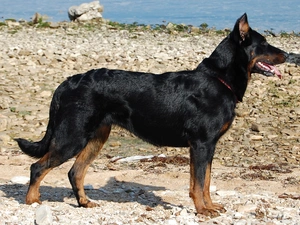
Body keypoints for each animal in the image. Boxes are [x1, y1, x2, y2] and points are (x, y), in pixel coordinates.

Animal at [15, 13, 288, 216]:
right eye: (264, 44)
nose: (287, 55)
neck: (220, 79)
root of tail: (66, 83)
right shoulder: (202, 144)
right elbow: (200, 182)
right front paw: (202, 210)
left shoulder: (206, 147)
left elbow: (205, 181)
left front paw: (209, 206)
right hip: (72, 137)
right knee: (37, 167)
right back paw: (32, 201)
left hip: (96, 137)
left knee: (75, 172)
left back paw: (84, 203)